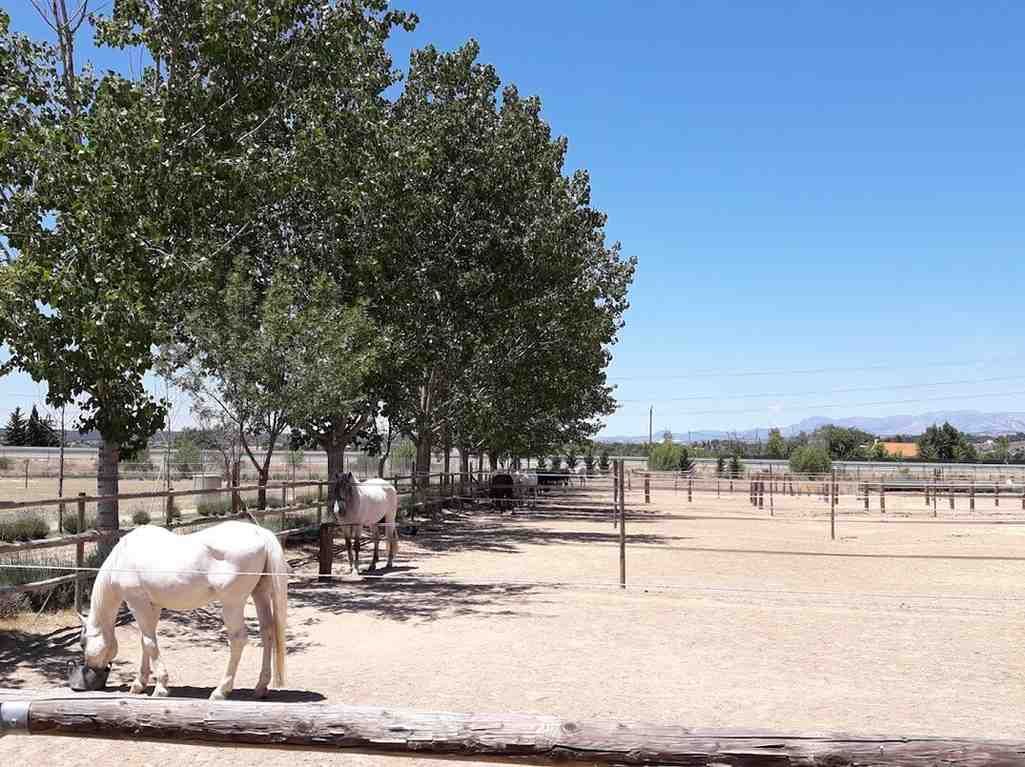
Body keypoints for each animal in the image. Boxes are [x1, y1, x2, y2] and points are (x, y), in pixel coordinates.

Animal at [76, 521, 289, 701]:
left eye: (82, 643)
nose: (91, 669)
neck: (122, 558)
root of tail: (260, 533)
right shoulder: (153, 606)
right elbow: (146, 641)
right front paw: (139, 684)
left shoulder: (138, 603)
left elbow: (149, 643)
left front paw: (161, 687)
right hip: (260, 594)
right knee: (267, 632)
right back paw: (260, 687)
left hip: (232, 604)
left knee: (238, 640)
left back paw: (221, 691)